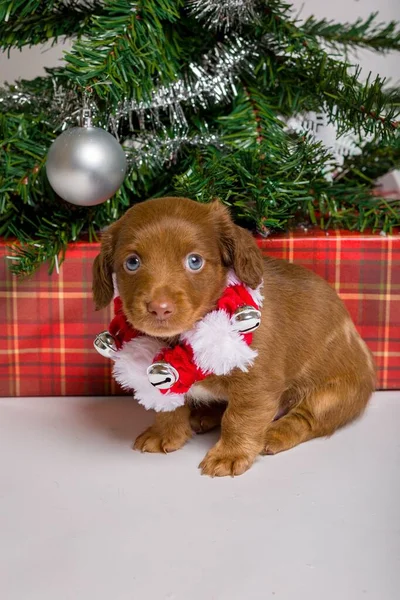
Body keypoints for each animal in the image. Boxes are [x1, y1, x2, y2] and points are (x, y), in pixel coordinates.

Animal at [93, 197, 376, 478]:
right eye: (132, 262)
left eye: (194, 261)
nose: (159, 308)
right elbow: (170, 408)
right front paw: (165, 433)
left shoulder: (257, 385)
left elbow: (239, 418)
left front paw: (230, 454)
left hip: (332, 394)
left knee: (306, 418)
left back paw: (274, 433)